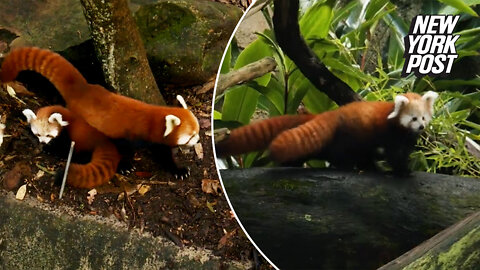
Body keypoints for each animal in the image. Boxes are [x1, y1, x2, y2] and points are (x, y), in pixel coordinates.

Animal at [218, 92, 438, 173]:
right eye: (413, 118)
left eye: (423, 118)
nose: (421, 127)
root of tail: (329, 115)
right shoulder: (387, 133)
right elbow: (393, 154)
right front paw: (403, 171)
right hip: (350, 136)